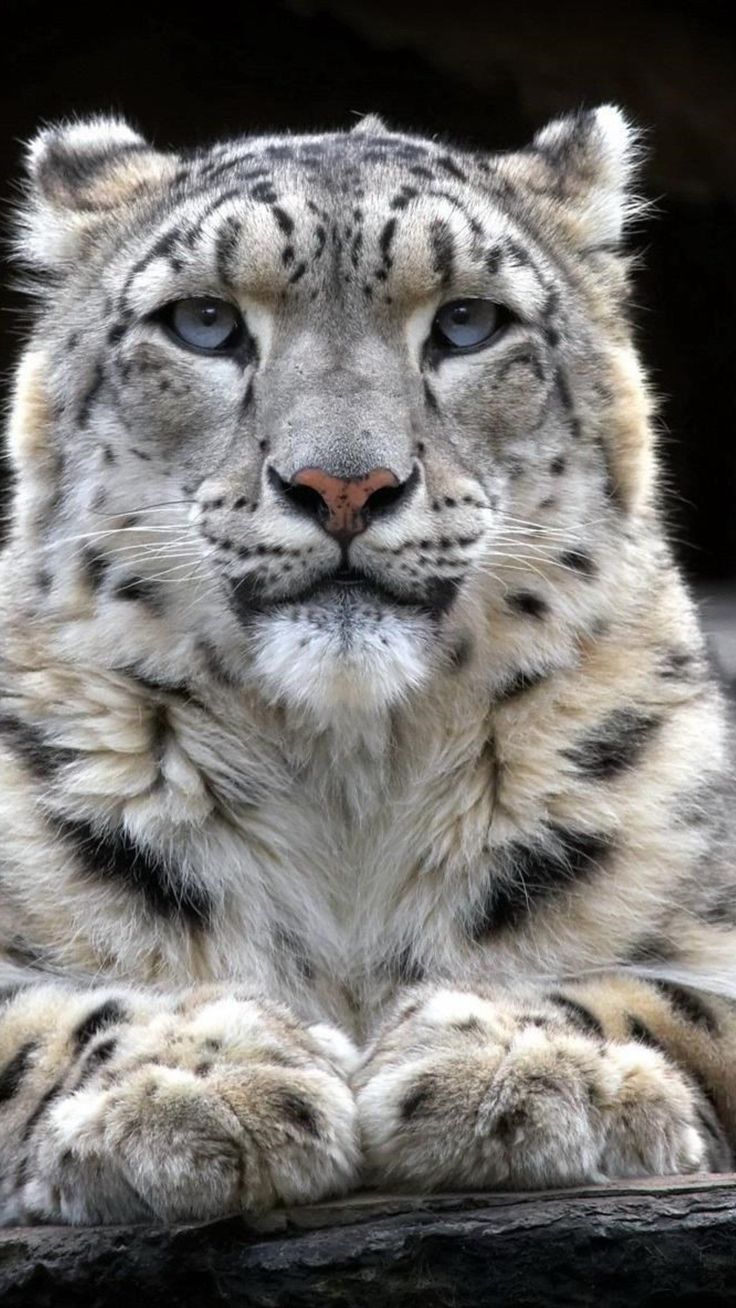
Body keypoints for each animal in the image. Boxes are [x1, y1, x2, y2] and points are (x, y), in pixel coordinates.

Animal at [1, 104, 735, 1226]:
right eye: (203, 323)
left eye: (468, 323)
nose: (342, 485)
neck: (345, 778)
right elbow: (34, 1014)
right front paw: (203, 1073)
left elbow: (677, 997)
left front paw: (522, 1059)